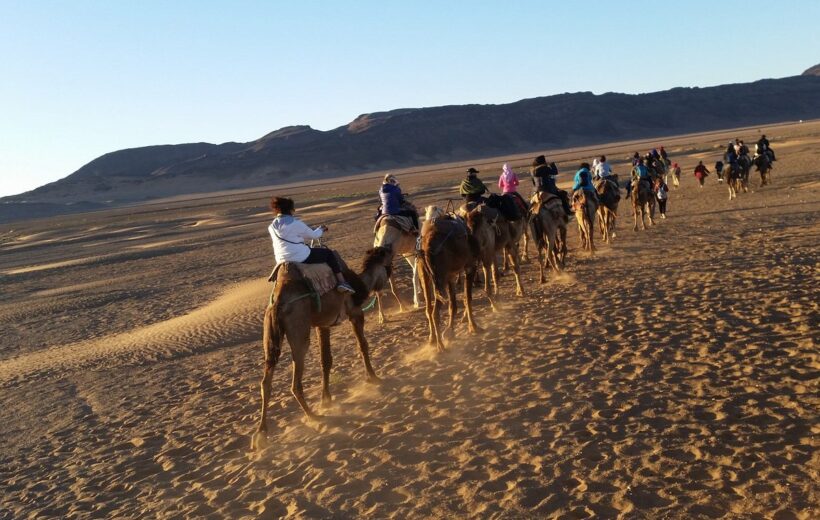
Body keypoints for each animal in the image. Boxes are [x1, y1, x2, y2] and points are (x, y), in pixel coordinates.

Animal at [253, 246, 394, 448]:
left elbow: (325, 360)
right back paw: (313, 416)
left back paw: (261, 433)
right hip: (299, 331)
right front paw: (374, 378)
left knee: (266, 380)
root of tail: (278, 304)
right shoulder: (355, 312)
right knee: (295, 382)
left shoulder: (323, 325)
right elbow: (363, 346)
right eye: (387, 256)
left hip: (270, 334)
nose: (390, 247)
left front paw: (326, 399)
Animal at [416, 205, 480, 352]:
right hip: (440, 277)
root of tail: (428, 246)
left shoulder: (451, 276)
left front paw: (450, 332)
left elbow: (453, 305)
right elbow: (468, 298)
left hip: (426, 276)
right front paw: (474, 327)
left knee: (429, 309)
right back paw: (440, 346)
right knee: (435, 312)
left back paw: (433, 339)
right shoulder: (469, 267)